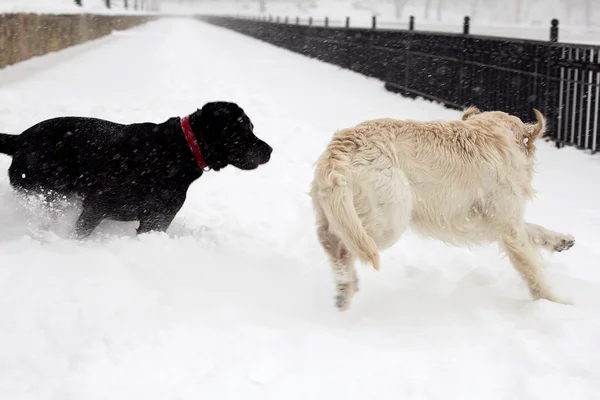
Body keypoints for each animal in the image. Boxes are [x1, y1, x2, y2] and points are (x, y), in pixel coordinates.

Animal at [0, 101, 272, 238]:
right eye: (243, 128)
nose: (270, 150)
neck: (180, 150)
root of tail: (19, 139)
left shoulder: (158, 220)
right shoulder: (96, 207)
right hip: (45, 194)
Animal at [312, 108, 576, 310]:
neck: (496, 137)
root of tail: (341, 147)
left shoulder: (504, 224)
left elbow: (535, 230)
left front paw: (561, 240)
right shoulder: (508, 228)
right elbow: (532, 272)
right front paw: (555, 303)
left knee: (329, 239)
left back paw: (343, 289)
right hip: (388, 221)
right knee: (342, 246)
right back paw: (345, 288)